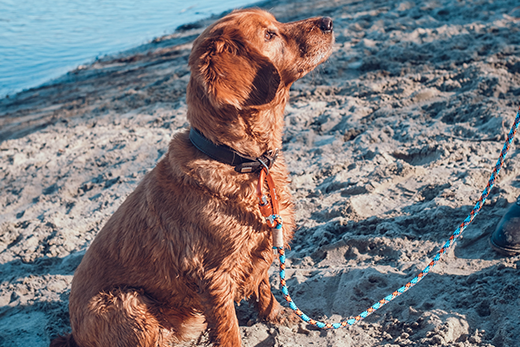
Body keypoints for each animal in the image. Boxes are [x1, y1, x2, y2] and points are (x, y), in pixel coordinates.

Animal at [49, 8, 334, 347]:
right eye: (269, 34)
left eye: (276, 24)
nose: (329, 22)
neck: (240, 159)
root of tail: (74, 334)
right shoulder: (213, 276)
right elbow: (228, 329)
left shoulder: (260, 246)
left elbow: (264, 286)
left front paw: (277, 316)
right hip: (126, 303)